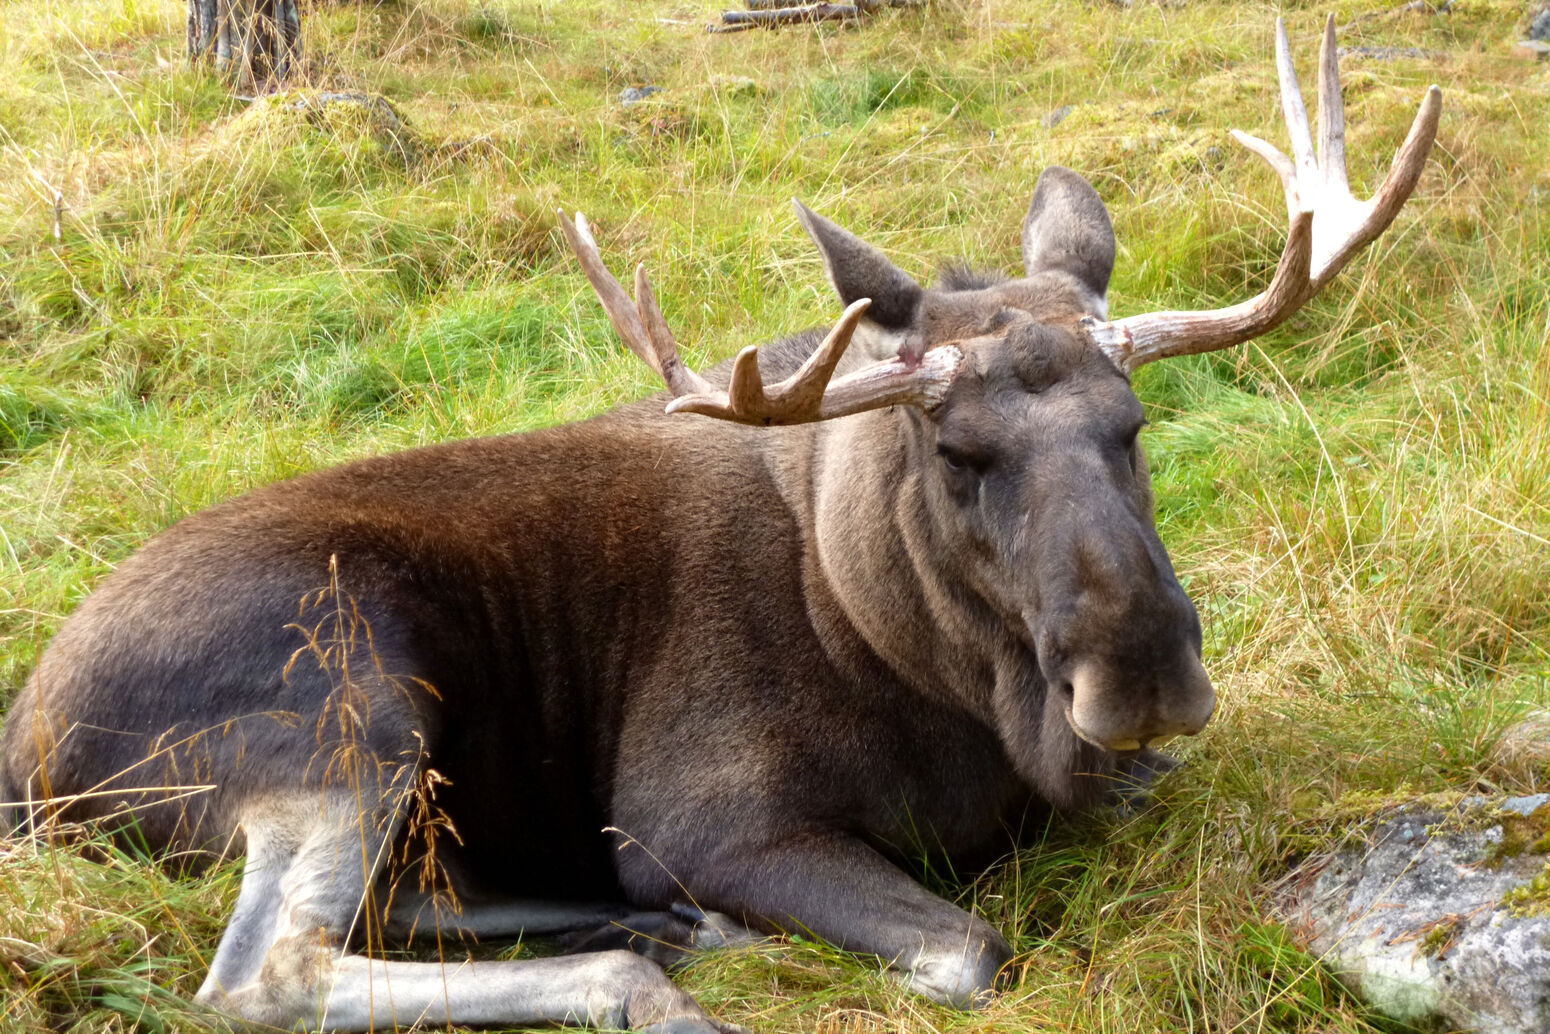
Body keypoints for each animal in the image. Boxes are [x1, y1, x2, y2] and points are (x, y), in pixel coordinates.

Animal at [0, 22, 1432, 1034]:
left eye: (1132, 423)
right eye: (954, 451)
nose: (1137, 675)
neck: (932, 671)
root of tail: (26, 748)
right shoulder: (706, 816)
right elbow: (967, 947)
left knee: (405, 902)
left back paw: (659, 930)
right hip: (353, 699)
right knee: (269, 969)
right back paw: (645, 969)